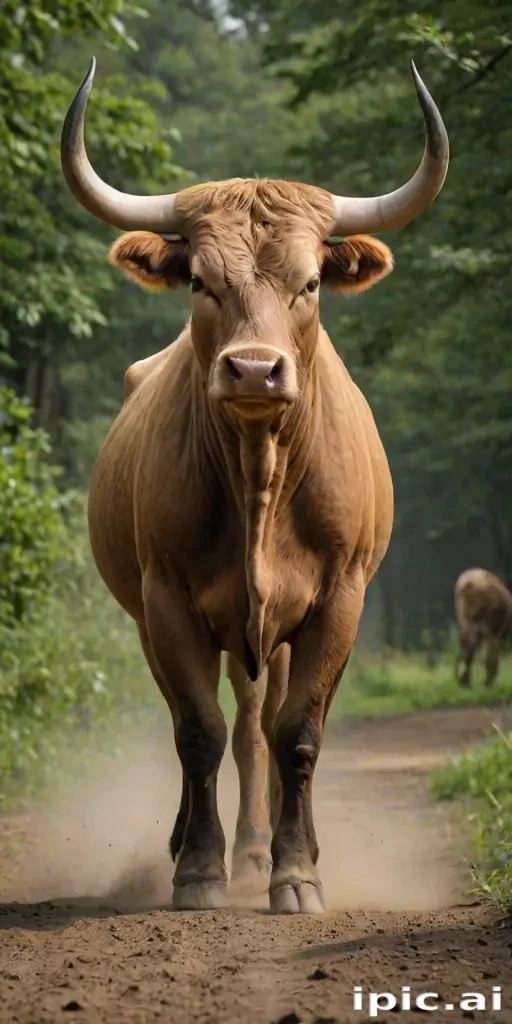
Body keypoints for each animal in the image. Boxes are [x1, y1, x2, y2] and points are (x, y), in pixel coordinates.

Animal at [60, 57, 449, 913]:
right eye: (201, 282)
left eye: (309, 283)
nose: (253, 370)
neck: (260, 476)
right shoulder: (168, 601)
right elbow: (199, 731)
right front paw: (203, 872)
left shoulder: (339, 601)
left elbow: (299, 732)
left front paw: (297, 875)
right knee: (229, 726)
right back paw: (219, 847)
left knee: (268, 725)